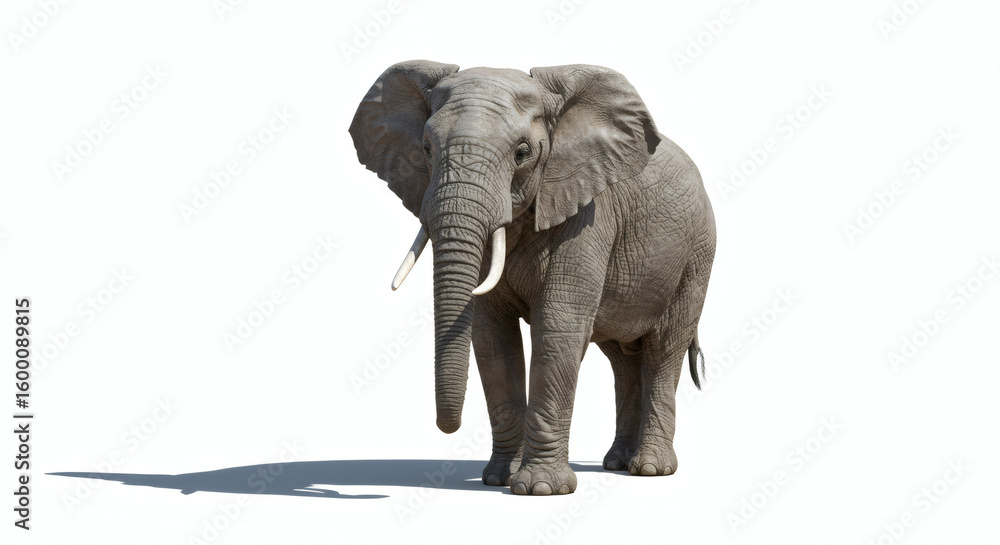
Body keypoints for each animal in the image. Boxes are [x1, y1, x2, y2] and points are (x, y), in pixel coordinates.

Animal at [349, 60, 716, 496]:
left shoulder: (587, 216)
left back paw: (650, 469)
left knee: (663, 348)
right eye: (426, 149)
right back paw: (616, 464)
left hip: (696, 255)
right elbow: (493, 340)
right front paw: (498, 479)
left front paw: (540, 489)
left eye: (522, 153)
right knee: (621, 358)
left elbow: (557, 329)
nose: (447, 426)